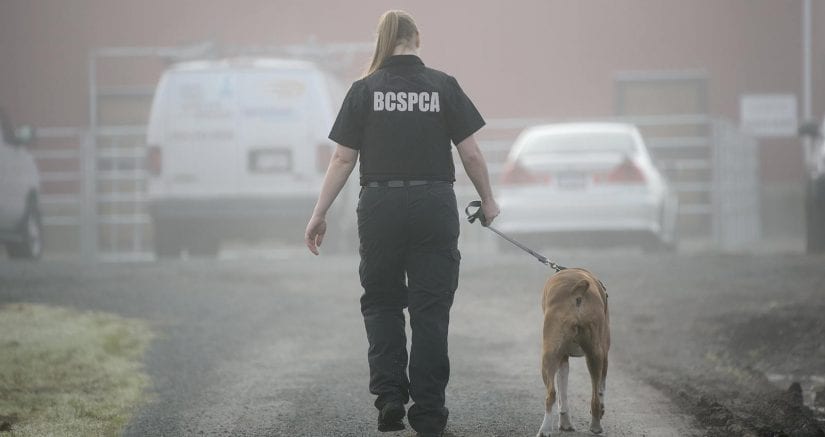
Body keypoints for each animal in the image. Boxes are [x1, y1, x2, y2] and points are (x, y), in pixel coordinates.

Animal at [536, 268, 608, 434]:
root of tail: (577, 291)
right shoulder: (604, 355)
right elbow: (601, 388)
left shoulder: (562, 358)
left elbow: (562, 395)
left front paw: (565, 424)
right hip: (595, 356)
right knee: (595, 395)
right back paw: (596, 425)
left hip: (548, 357)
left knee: (551, 394)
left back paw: (545, 430)